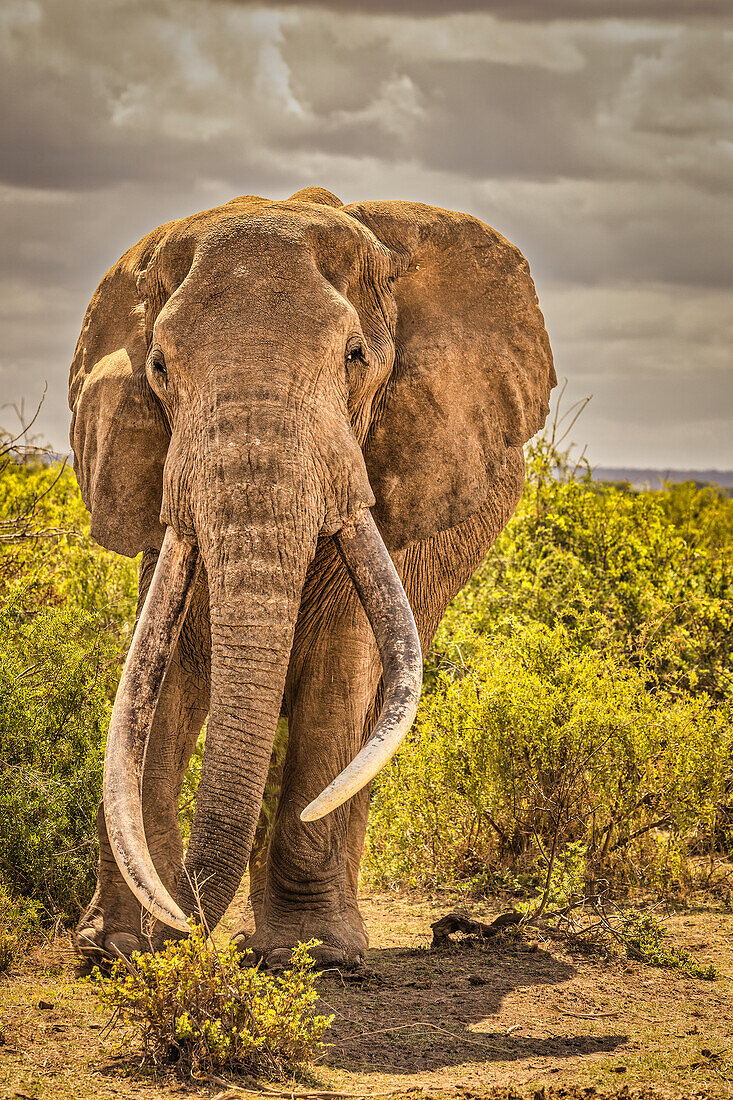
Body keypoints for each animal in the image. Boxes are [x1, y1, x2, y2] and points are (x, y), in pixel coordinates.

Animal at [69, 189, 554, 972]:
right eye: (160, 368)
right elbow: (154, 687)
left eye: (355, 357)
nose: (187, 933)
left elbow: (338, 674)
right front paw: (118, 950)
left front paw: (310, 956)